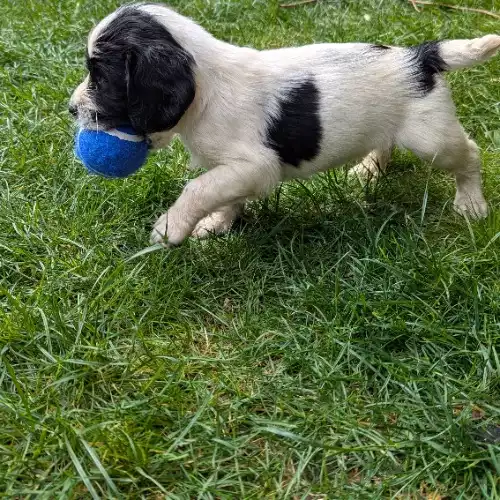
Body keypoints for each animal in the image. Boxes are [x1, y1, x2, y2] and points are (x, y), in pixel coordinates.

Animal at [69, 3, 500, 246]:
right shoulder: (234, 171)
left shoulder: (254, 166)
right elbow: (222, 195)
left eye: (100, 77)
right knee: (385, 140)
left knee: (469, 154)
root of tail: (421, 56)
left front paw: (172, 226)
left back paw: (471, 203)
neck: (207, 89)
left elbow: (199, 188)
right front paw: (216, 223)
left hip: (431, 139)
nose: (71, 109)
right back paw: (369, 168)